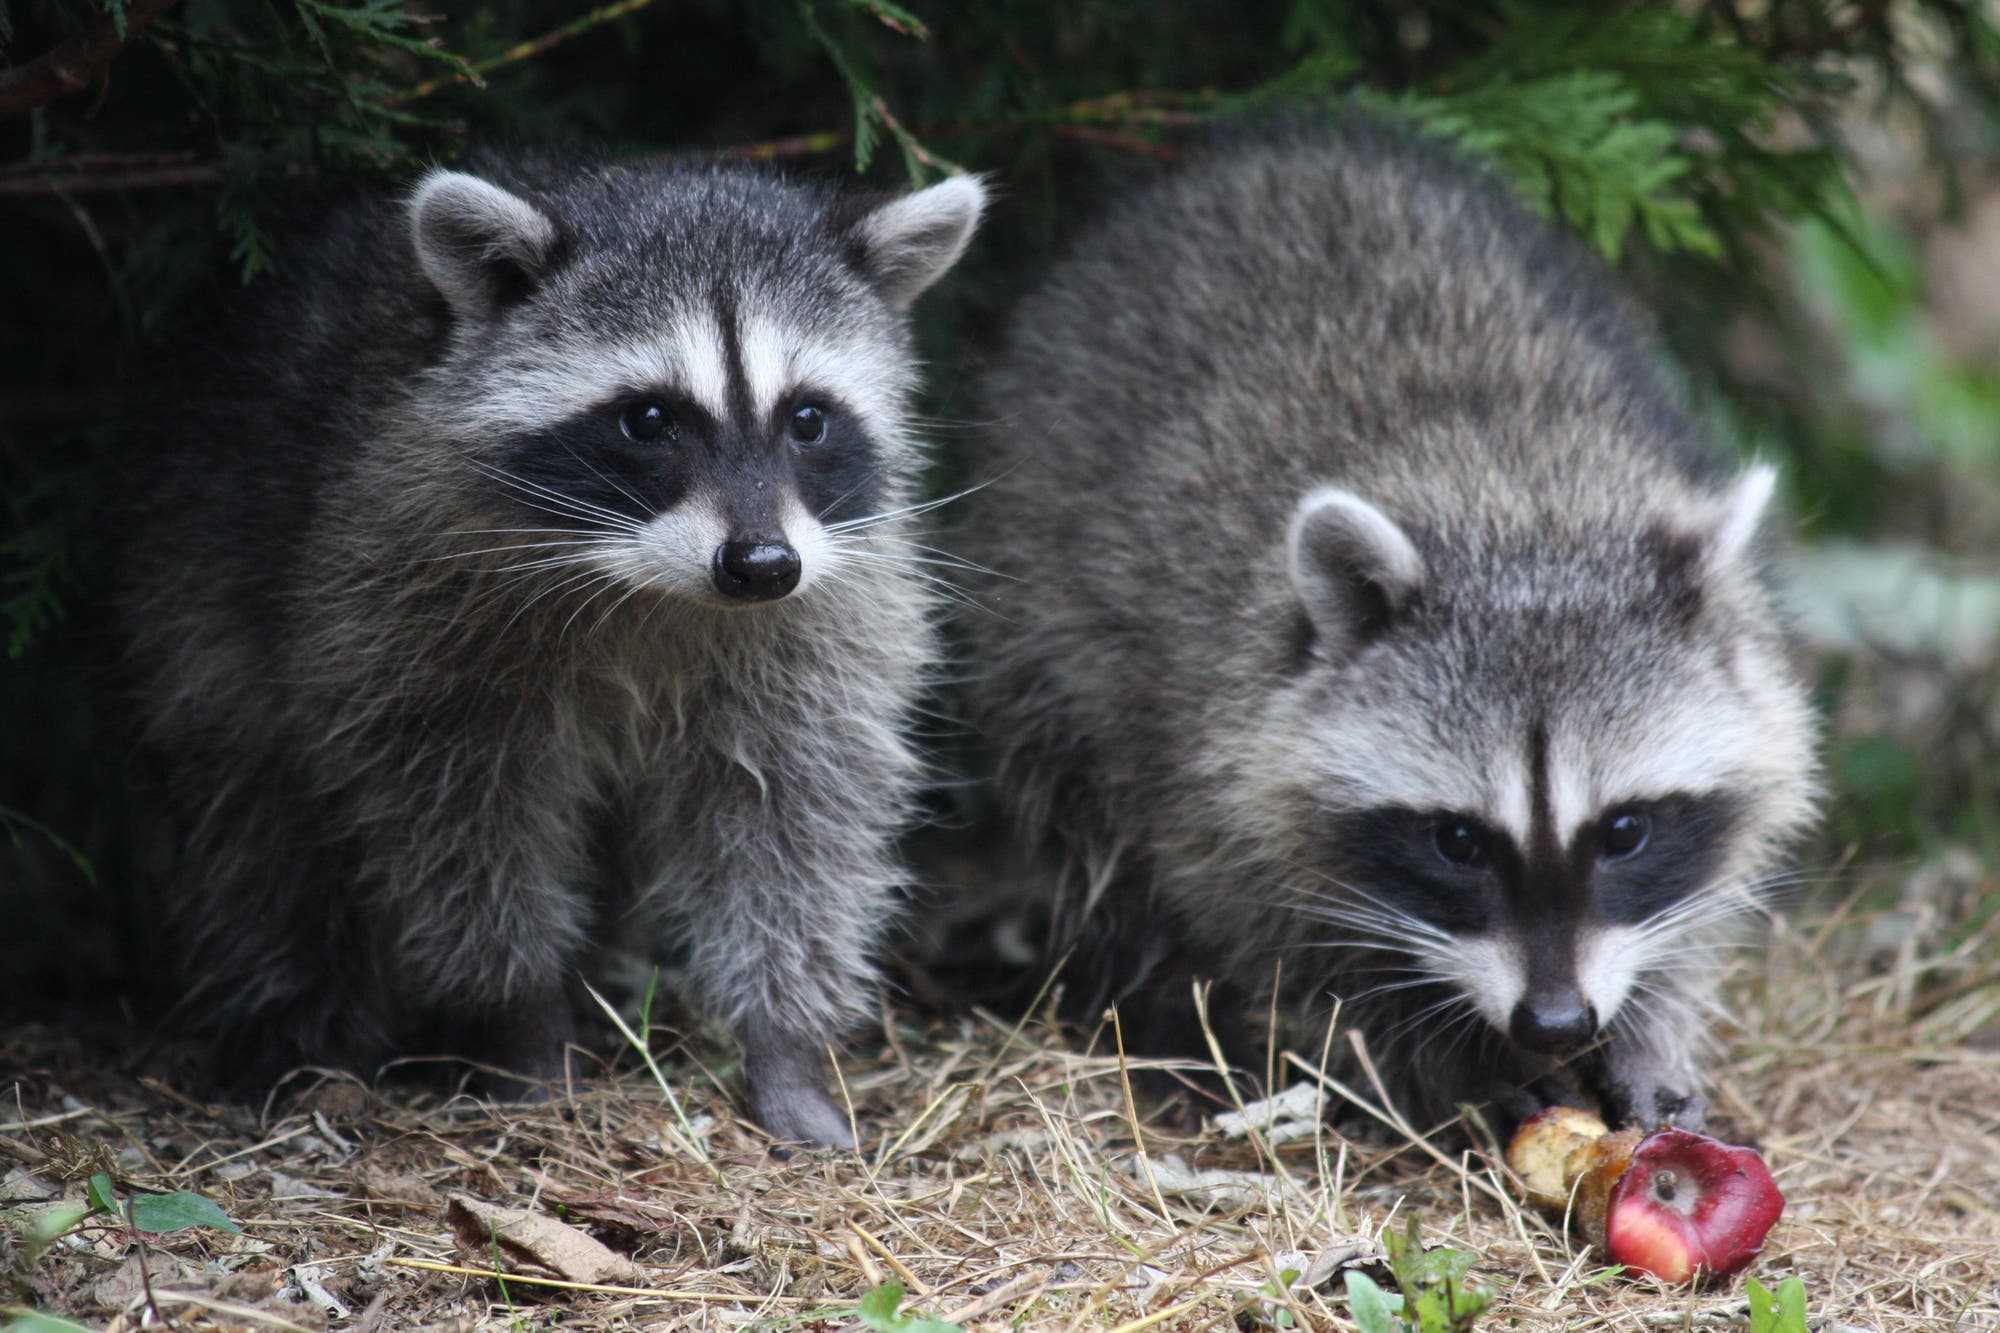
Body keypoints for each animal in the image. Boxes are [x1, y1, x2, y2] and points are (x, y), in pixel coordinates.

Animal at [117, 148, 984, 1144]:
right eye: (649, 419)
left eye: (808, 418)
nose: (762, 565)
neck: (655, 583)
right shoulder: (396, 606)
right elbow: (463, 826)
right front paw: (520, 1019)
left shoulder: (825, 615)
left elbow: (797, 815)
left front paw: (786, 1040)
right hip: (202, 570)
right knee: (260, 829)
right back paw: (303, 1030)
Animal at [944, 119, 1824, 1128]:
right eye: (1458, 841)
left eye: (1626, 830)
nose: (1555, 1020)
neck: (1522, 506)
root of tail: (1268, 144)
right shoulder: (1215, 749)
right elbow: (1291, 943)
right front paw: (1449, 1057)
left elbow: (1694, 902)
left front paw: (1649, 1028)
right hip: (1034, 592)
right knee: (1080, 810)